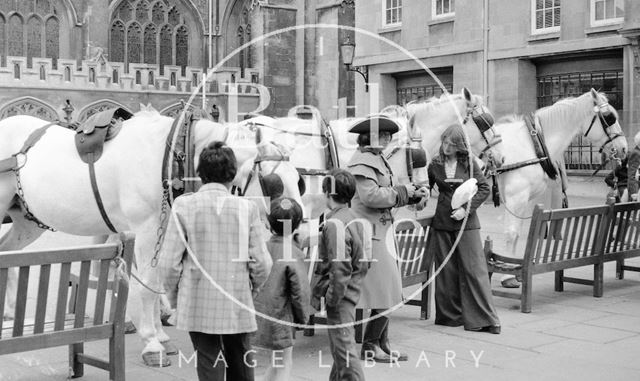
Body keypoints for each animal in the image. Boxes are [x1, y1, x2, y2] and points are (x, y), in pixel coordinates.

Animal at [0, 107, 304, 366]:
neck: (171, 159)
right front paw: (151, 343)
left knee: (7, 251)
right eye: (274, 184)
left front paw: (161, 335)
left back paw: (10, 311)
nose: (299, 229)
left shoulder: (166, 230)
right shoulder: (145, 229)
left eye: (299, 179)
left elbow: (157, 282)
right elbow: (147, 286)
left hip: (29, 219)